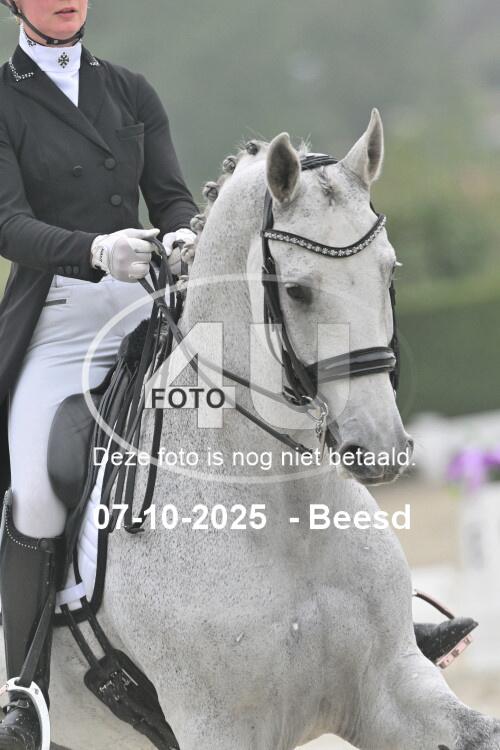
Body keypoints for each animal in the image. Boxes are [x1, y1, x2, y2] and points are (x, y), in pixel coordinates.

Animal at [3, 109, 500, 750]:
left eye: (389, 269)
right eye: (297, 290)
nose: (381, 449)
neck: (286, 508)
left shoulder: (393, 685)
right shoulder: (220, 726)